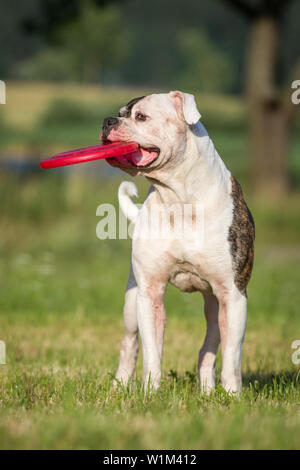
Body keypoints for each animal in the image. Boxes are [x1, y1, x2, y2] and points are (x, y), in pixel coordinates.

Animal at [101, 91, 255, 392]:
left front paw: (233, 395)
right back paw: (121, 385)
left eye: (141, 116)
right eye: (120, 113)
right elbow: (151, 351)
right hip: (131, 300)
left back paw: (208, 391)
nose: (107, 121)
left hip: (215, 305)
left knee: (209, 348)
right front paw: (150, 392)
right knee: (129, 343)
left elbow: (232, 355)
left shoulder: (233, 295)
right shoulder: (149, 292)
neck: (178, 198)